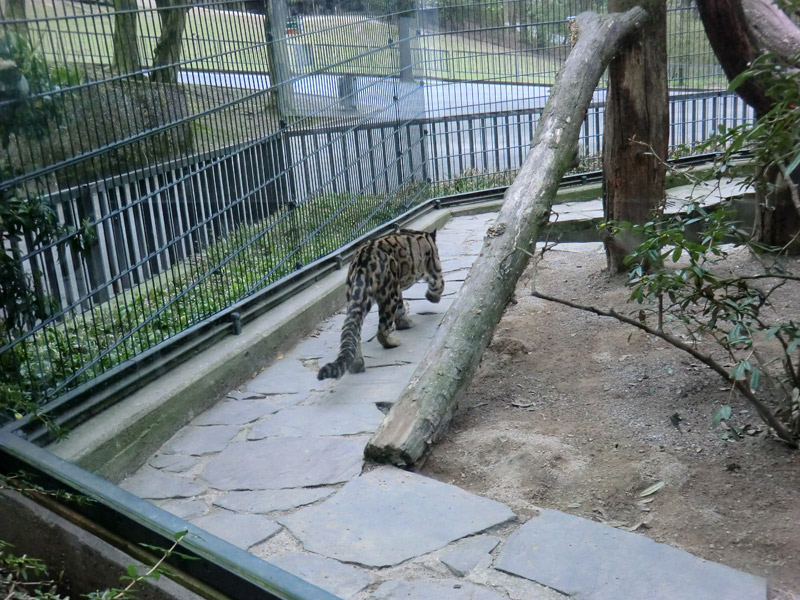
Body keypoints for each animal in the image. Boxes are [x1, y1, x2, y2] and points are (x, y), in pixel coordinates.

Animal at [318, 230, 444, 380]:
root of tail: (362, 265)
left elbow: (401, 308)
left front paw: (404, 322)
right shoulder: (435, 268)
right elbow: (439, 285)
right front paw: (432, 298)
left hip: (360, 298)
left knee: (355, 332)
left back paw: (357, 364)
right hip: (389, 296)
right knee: (382, 330)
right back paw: (393, 342)